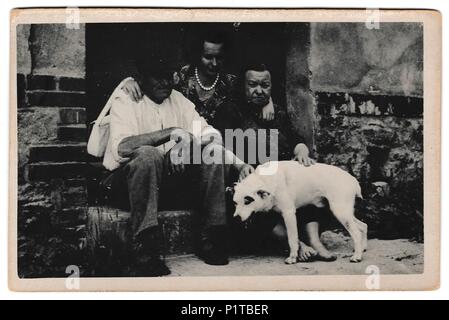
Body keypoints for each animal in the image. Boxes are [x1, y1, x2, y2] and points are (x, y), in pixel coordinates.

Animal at [233, 161, 366, 264]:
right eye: (235, 202)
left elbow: (292, 239)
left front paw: (292, 258)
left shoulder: (289, 213)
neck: (266, 179)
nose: (236, 218)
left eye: (247, 201)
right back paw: (362, 249)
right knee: (363, 226)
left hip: (340, 211)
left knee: (356, 232)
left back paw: (357, 256)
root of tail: (353, 180)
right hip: (344, 212)